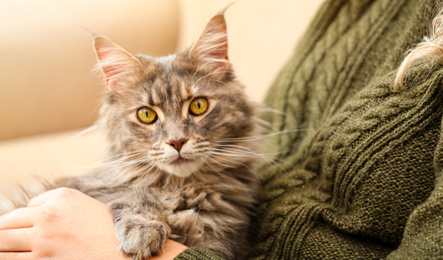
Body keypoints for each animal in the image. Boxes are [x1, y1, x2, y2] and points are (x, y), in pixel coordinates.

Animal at [0, 10, 260, 260]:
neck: (179, 188)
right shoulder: (93, 187)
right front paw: (142, 234)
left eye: (198, 106)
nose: (177, 141)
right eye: (146, 115)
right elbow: (133, 196)